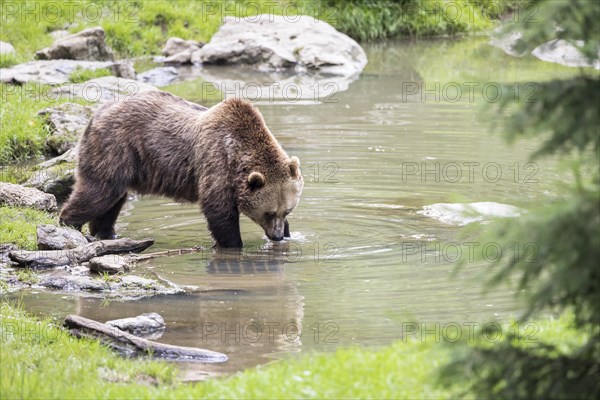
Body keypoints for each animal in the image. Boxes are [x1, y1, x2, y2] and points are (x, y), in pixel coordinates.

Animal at [59, 90, 304, 247]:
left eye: (286, 210)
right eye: (269, 212)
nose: (277, 236)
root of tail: (97, 112)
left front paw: (290, 234)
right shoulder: (216, 163)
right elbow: (219, 211)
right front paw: (233, 243)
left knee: (113, 199)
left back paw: (106, 232)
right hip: (115, 148)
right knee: (98, 192)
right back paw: (69, 225)